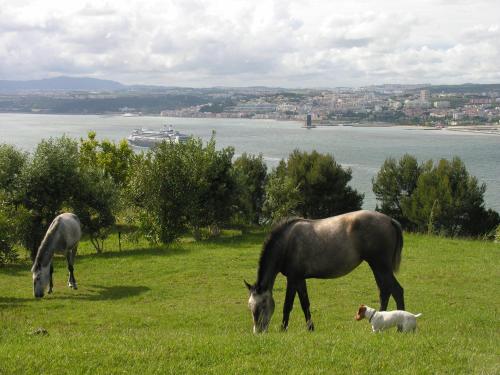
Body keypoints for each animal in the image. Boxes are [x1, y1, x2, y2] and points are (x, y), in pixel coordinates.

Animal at [244, 210, 404, 334]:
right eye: (250, 306)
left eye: (261, 306)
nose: (257, 332)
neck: (286, 243)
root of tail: (389, 220)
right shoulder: (300, 279)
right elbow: (305, 304)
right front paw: (310, 328)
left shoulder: (293, 278)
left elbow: (287, 305)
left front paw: (283, 329)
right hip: (377, 267)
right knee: (384, 292)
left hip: (380, 266)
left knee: (396, 291)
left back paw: (400, 328)